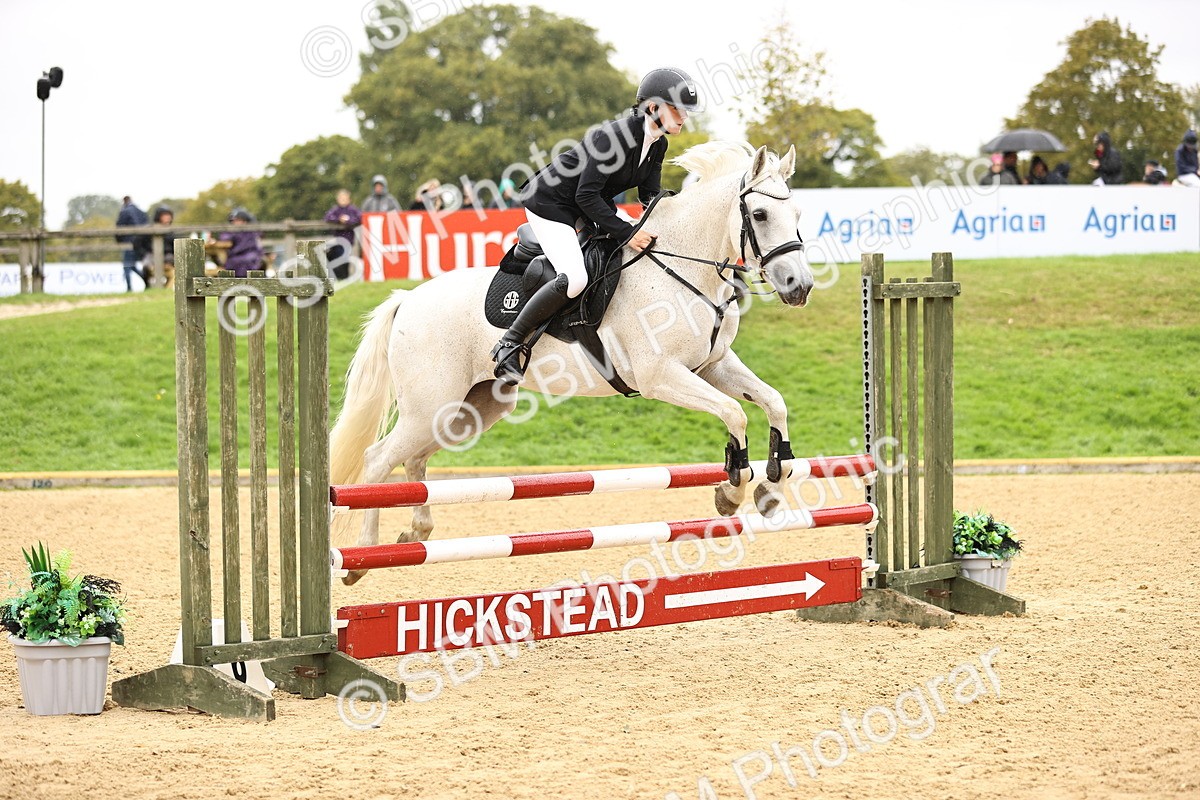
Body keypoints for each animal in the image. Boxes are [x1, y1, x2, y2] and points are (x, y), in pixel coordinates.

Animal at [330, 140, 815, 584]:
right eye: (760, 215)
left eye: (798, 214)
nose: (800, 286)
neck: (685, 267)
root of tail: (407, 299)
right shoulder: (661, 376)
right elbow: (735, 413)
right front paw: (732, 492)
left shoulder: (714, 365)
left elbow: (773, 403)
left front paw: (771, 488)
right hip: (430, 406)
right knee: (377, 460)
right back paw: (361, 558)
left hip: (468, 409)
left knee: (413, 463)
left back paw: (415, 533)